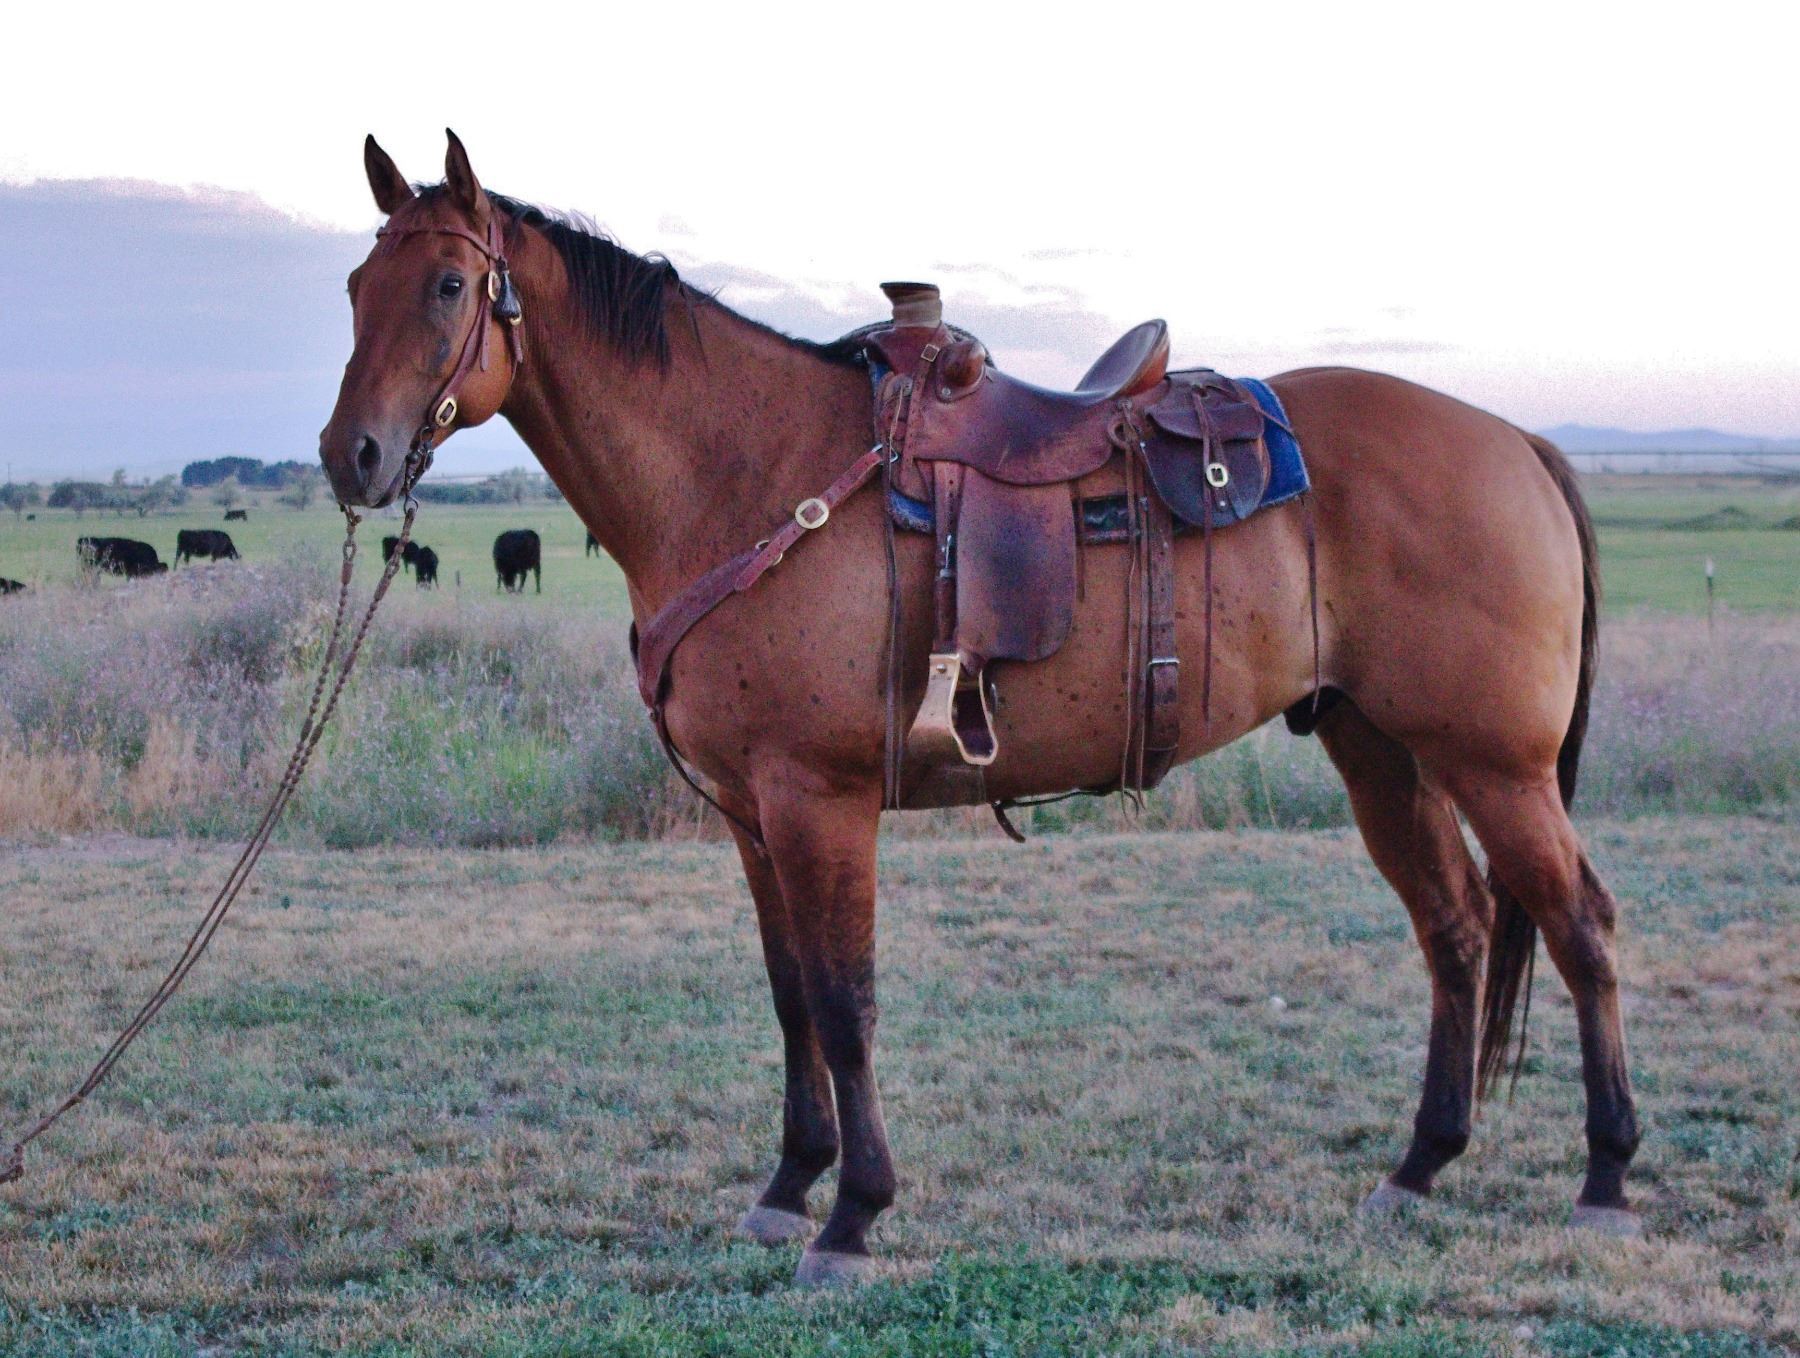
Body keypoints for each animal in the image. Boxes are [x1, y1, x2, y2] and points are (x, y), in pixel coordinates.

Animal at [318, 132, 1640, 1286]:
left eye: (448, 285)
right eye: (353, 285)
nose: (352, 456)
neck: (747, 471)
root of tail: (1515, 441)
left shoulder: (820, 802)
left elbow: (844, 1000)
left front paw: (852, 1215)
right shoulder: (753, 815)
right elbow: (790, 992)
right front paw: (789, 1182)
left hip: (1496, 764)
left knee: (1579, 925)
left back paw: (1606, 1177)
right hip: (1385, 754)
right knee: (1456, 928)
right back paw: (1420, 1164)